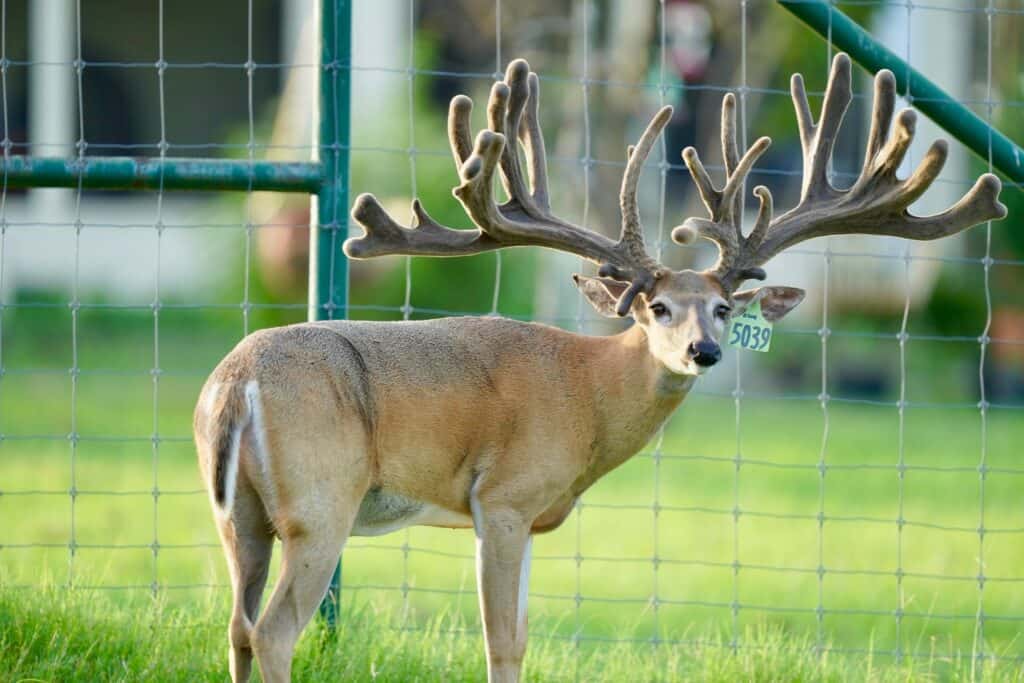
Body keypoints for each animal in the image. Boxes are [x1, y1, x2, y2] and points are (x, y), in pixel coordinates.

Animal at [194, 54, 1006, 683]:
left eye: (722, 309)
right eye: (656, 309)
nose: (704, 352)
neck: (585, 392)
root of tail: (235, 383)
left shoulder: (520, 514)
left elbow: (520, 640)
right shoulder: (506, 497)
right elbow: (503, 645)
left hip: (240, 512)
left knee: (236, 626)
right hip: (322, 500)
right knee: (272, 630)